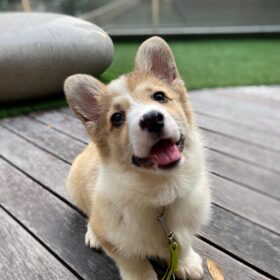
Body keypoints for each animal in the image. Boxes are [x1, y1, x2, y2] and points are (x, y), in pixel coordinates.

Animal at [64, 37, 211, 280]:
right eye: (117, 118)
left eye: (159, 97)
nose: (152, 119)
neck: (163, 192)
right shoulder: (115, 240)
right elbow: (133, 261)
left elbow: (183, 243)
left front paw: (186, 262)